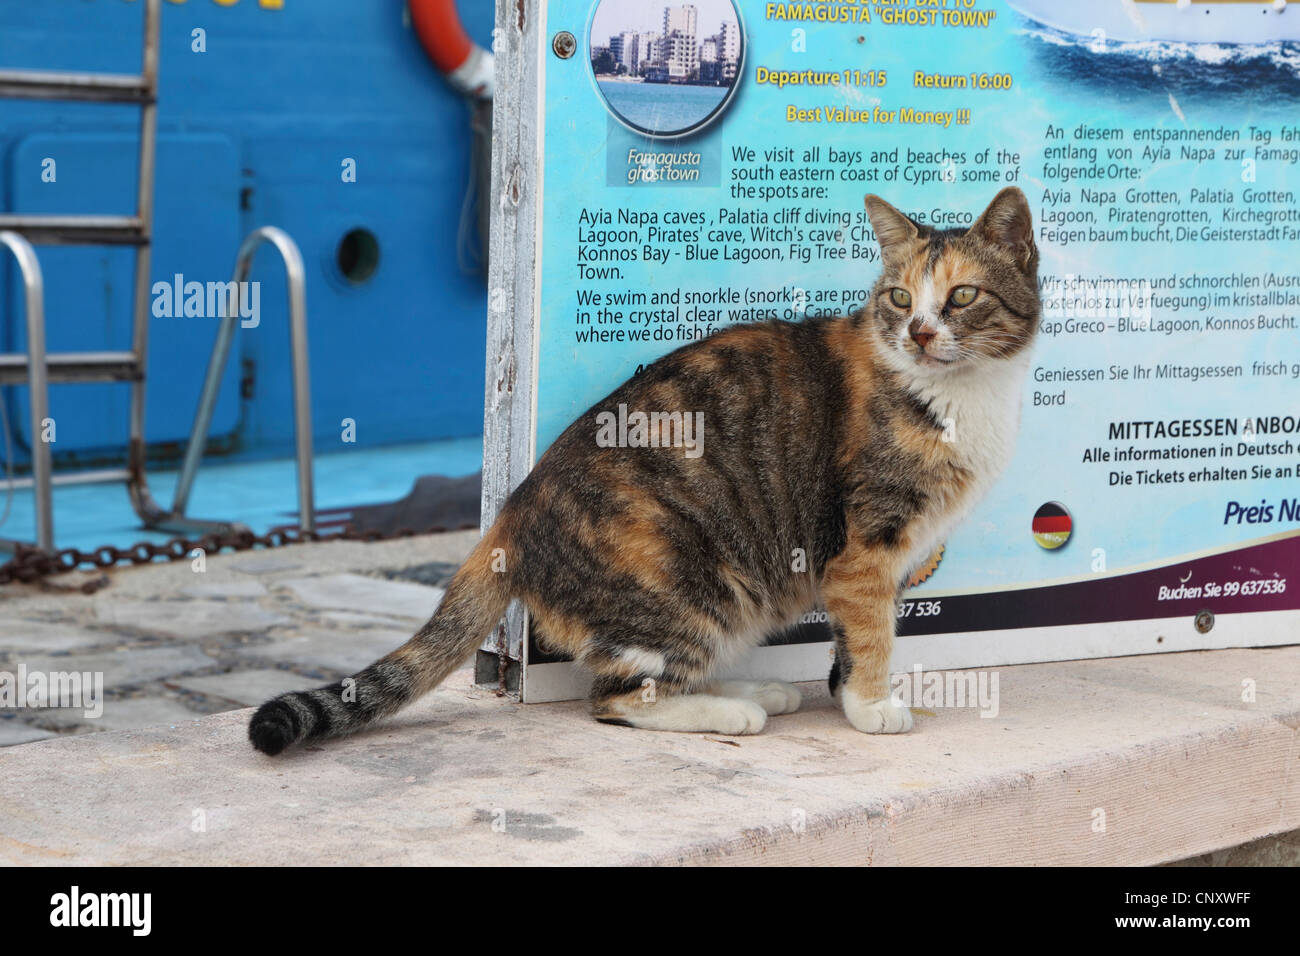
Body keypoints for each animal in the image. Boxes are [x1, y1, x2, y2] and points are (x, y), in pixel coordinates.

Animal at [248, 187, 1040, 754]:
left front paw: (849, 696)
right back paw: (736, 709)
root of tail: (511, 511)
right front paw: (874, 706)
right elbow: (872, 632)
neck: (962, 395)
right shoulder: (867, 547)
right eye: (900, 298)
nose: (920, 332)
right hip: (692, 582)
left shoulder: (886, 560)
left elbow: (850, 641)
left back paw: (755, 690)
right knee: (618, 698)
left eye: (962, 295)